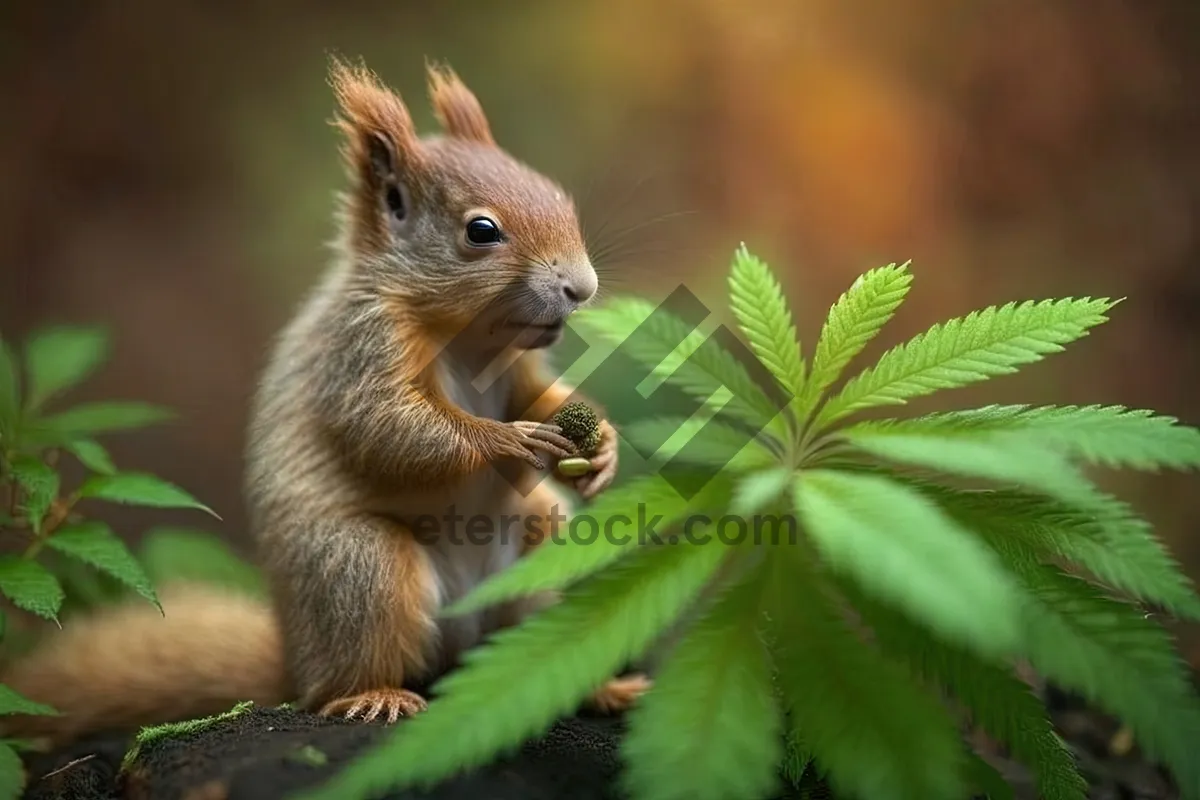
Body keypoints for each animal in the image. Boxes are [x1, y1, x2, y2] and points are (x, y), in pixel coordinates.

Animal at [0, 59, 648, 748]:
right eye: (481, 231)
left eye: (557, 195)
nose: (582, 287)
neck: (470, 338)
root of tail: (295, 660)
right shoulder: (358, 350)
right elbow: (394, 429)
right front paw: (510, 440)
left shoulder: (517, 369)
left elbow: (538, 396)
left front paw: (602, 446)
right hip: (361, 566)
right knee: (341, 674)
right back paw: (373, 695)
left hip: (545, 542)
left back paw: (600, 687)